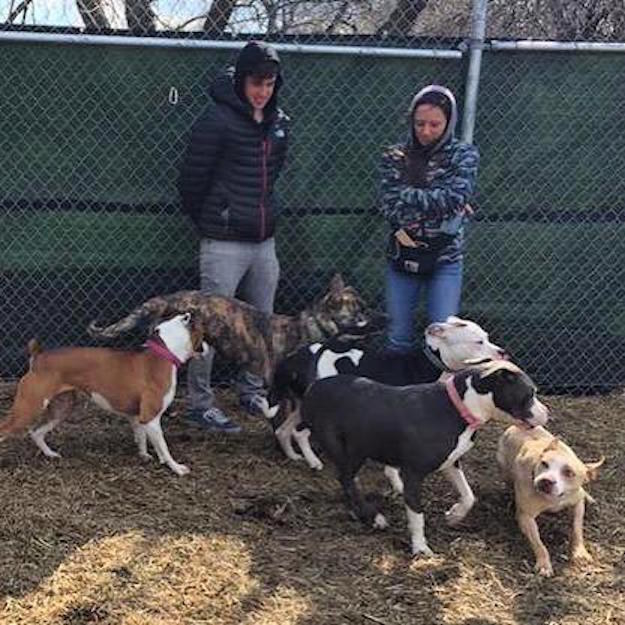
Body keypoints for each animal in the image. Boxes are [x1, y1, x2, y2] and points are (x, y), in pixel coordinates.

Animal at [268, 314, 508, 466]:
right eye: (478, 342)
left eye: (487, 338)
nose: (502, 352)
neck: (431, 363)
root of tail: (294, 358)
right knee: (299, 432)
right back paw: (314, 462)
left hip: (301, 405)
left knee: (283, 430)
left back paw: (293, 456)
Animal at [298, 360, 544, 556]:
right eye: (530, 394)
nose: (547, 412)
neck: (459, 407)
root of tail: (313, 387)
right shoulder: (414, 474)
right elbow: (417, 515)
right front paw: (420, 547)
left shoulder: (451, 463)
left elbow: (469, 496)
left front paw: (454, 516)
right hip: (348, 449)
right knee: (346, 479)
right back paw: (374, 516)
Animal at [494, 424, 604, 576]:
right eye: (544, 464)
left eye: (569, 473)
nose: (546, 481)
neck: (554, 499)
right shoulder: (526, 517)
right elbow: (539, 544)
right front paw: (544, 564)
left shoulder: (577, 504)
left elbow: (577, 529)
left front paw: (580, 552)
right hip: (504, 469)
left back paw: (588, 496)